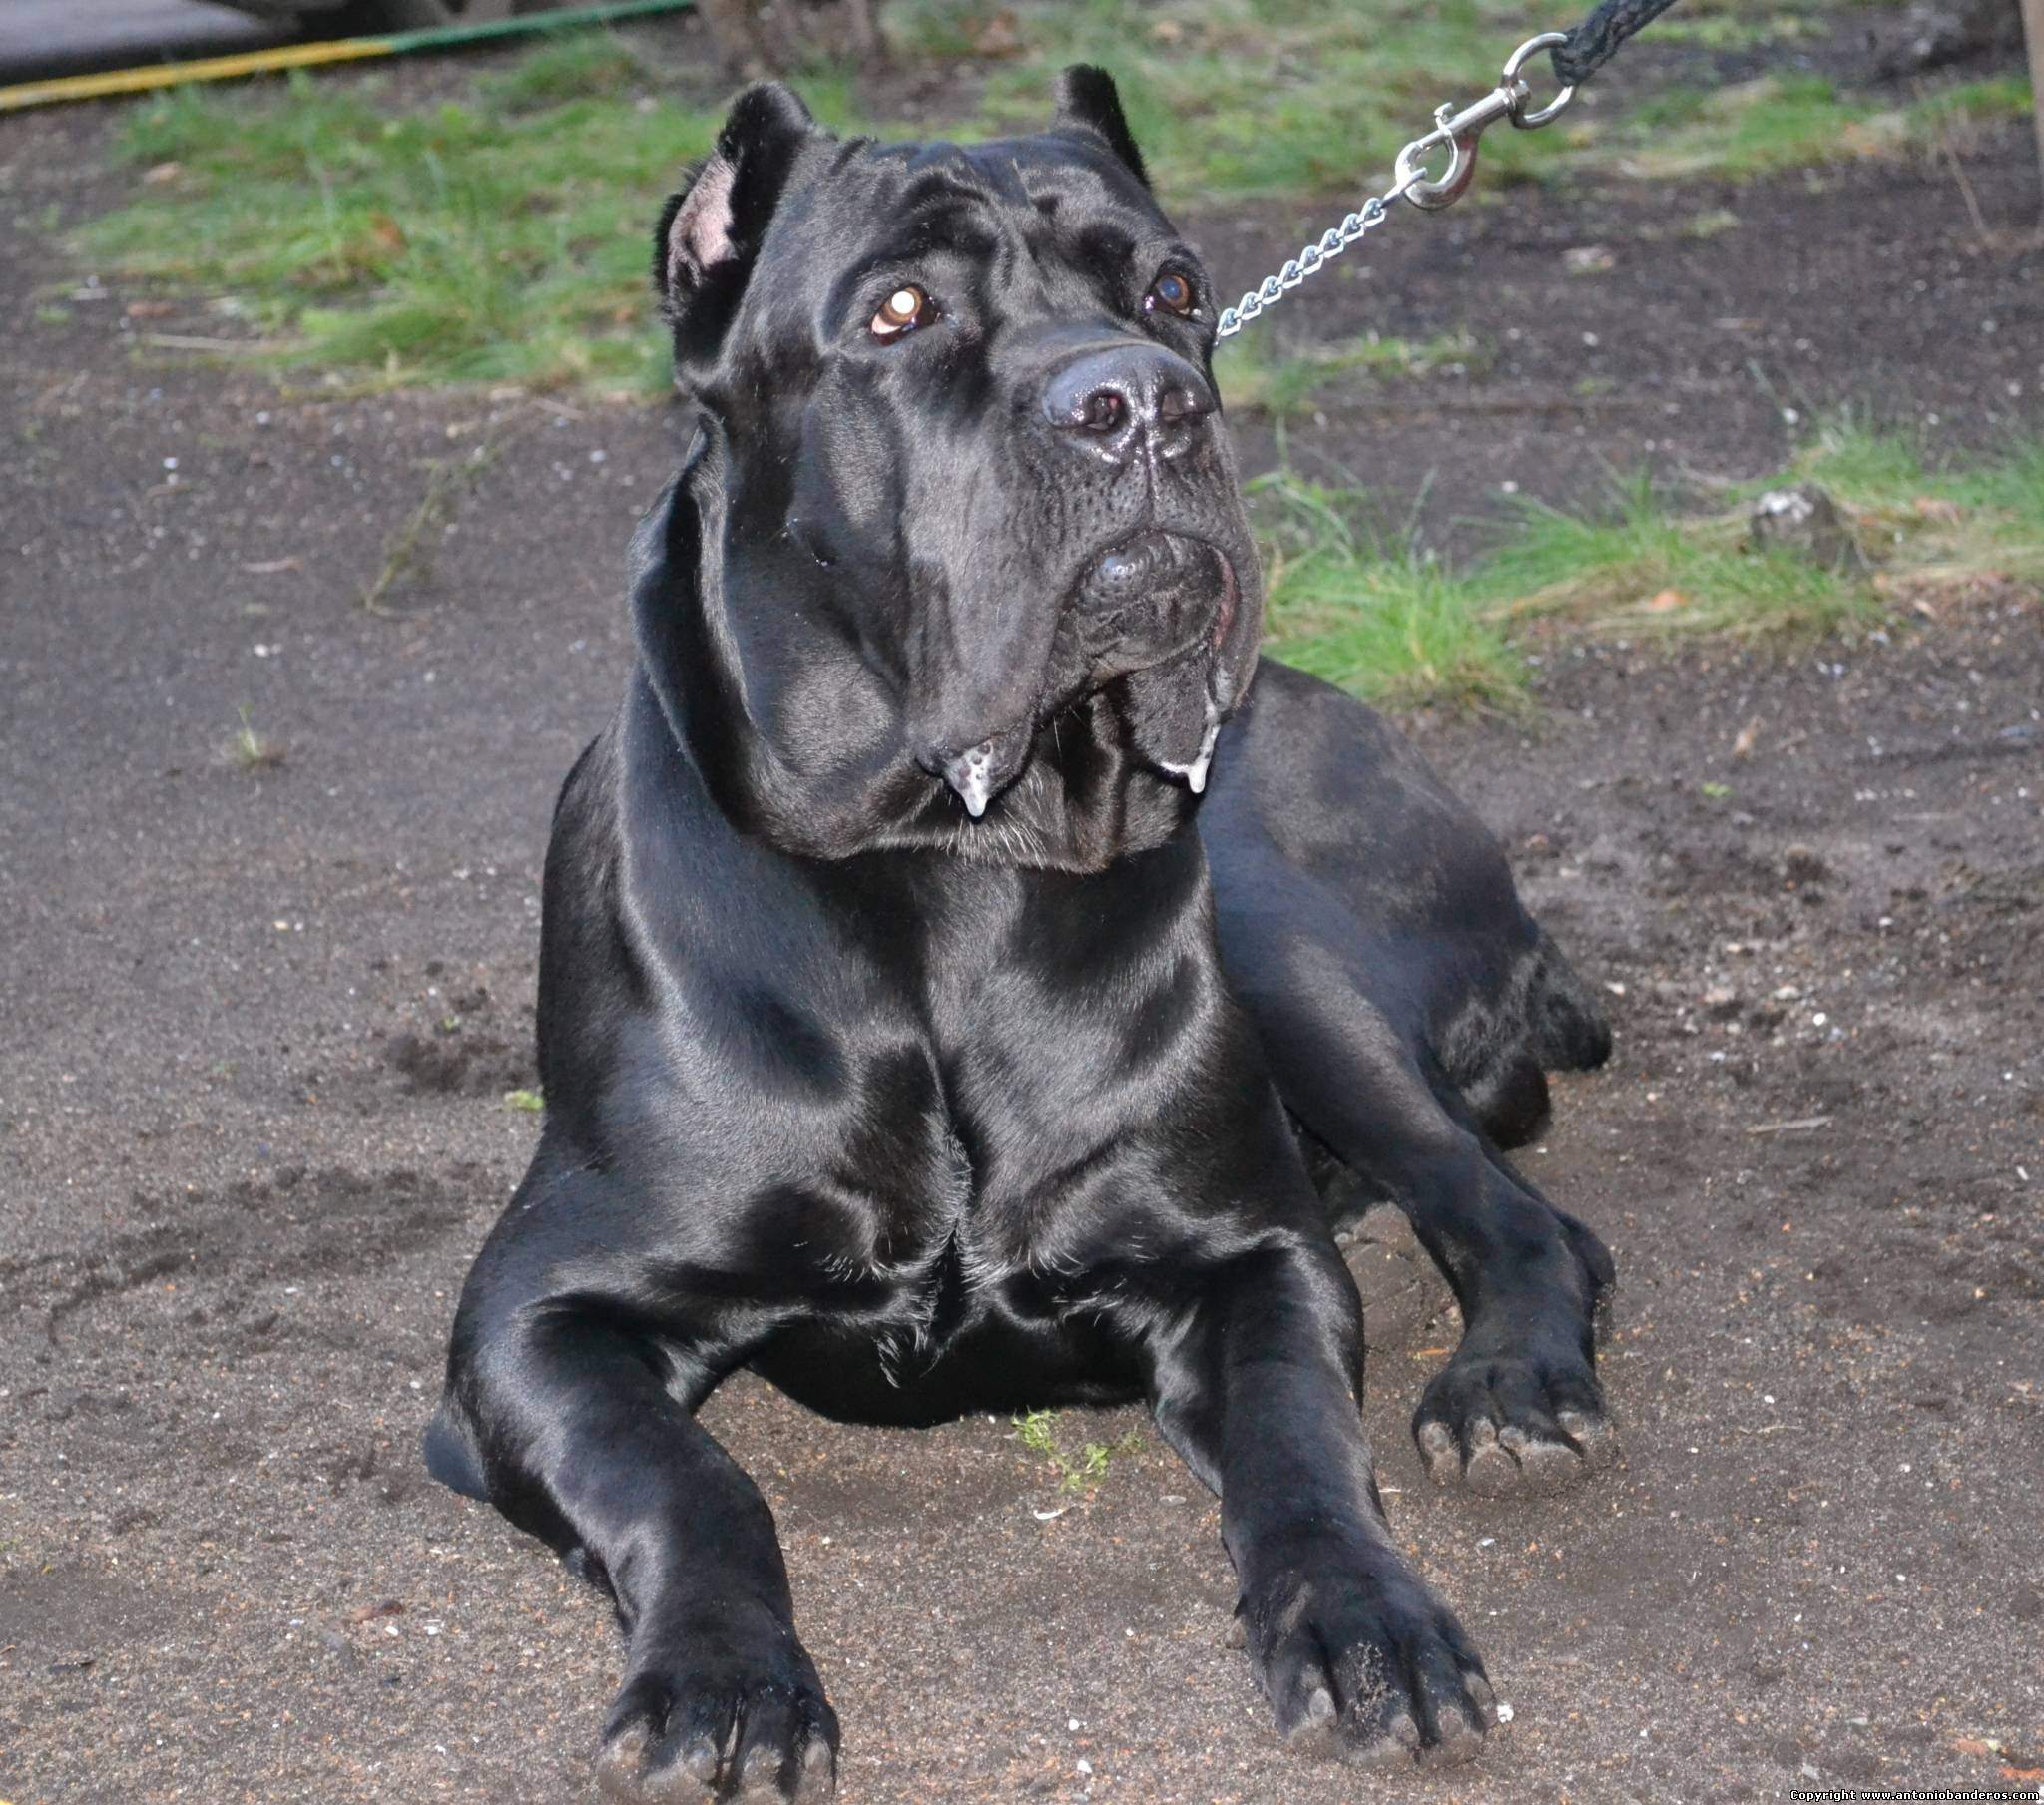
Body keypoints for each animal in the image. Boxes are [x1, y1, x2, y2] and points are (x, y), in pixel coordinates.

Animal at [427, 70, 1610, 1805]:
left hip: (1288, 954)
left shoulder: (1257, 1259)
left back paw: (1514, 1386)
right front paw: (724, 1675)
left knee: (1518, 1210)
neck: (953, 861)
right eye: (900, 312)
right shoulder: (529, 1317)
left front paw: (1367, 1613)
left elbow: (1304, 1445)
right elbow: (691, 1478)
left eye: (1174, 290)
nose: (1141, 403)